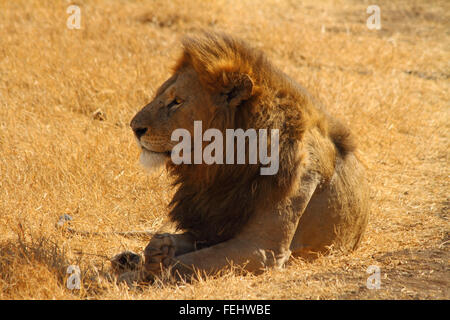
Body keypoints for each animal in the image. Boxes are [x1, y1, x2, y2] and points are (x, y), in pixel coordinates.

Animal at [116, 32, 370, 282]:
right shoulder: (212, 225)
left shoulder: (261, 249)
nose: (134, 127)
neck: (224, 165)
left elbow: (187, 263)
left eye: (176, 102)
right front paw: (152, 254)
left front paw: (135, 275)